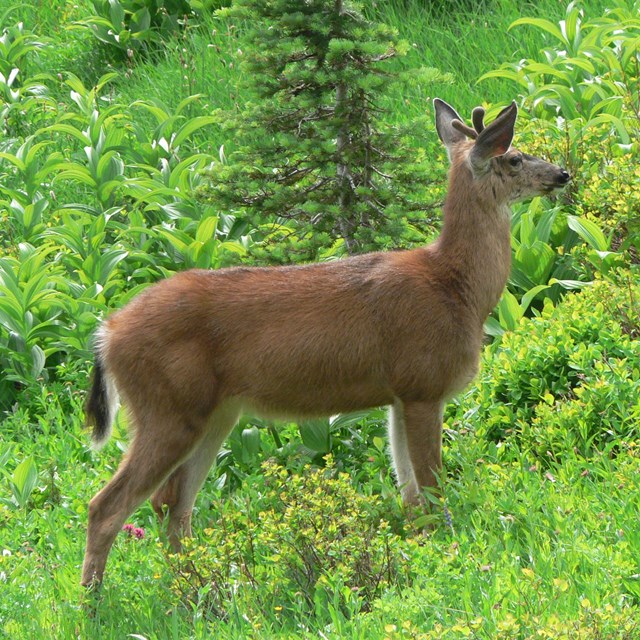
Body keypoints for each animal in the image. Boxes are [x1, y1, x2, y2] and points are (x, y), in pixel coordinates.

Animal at [80, 99, 568, 584]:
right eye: (514, 157)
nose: (562, 173)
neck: (457, 289)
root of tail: (107, 333)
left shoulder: (400, 395)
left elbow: (410, 493)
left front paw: (422, 552)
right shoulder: (424, 383)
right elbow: (431, 490)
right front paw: (447, 553)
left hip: (214, 412)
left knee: (173, 504)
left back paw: (202, 587)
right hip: (165, 408)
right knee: (108, 506)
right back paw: (96, 598)